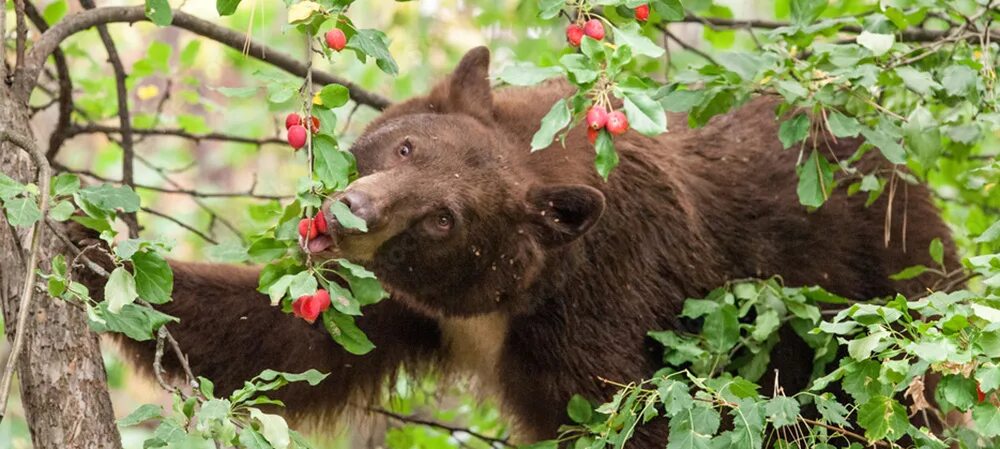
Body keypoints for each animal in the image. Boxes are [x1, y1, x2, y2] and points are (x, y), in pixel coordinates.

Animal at [92, 45, 952, 444]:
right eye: (404, 146)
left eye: (444, 216)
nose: (351, 212)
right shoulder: (412, 305)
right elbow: (282, 338)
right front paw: (90, 247)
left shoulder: (601, 308)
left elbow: (633, 416)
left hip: (880, 293)